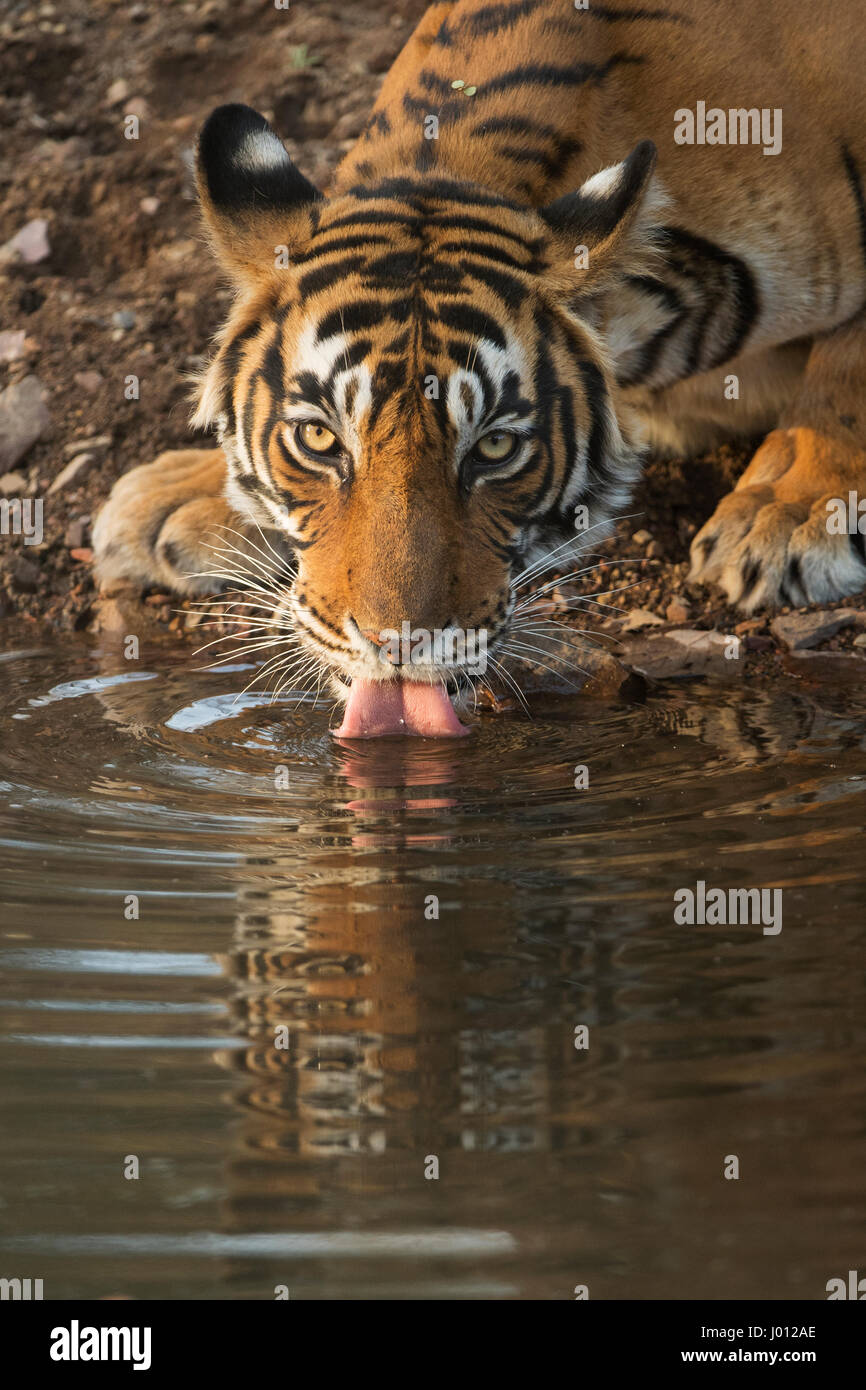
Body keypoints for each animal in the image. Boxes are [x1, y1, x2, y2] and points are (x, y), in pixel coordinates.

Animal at [93, 0, 866, 736]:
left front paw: (791, 512)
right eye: (317, 439)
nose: (397, 643)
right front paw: (179, 497)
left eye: (494, 447)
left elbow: (846, 370)